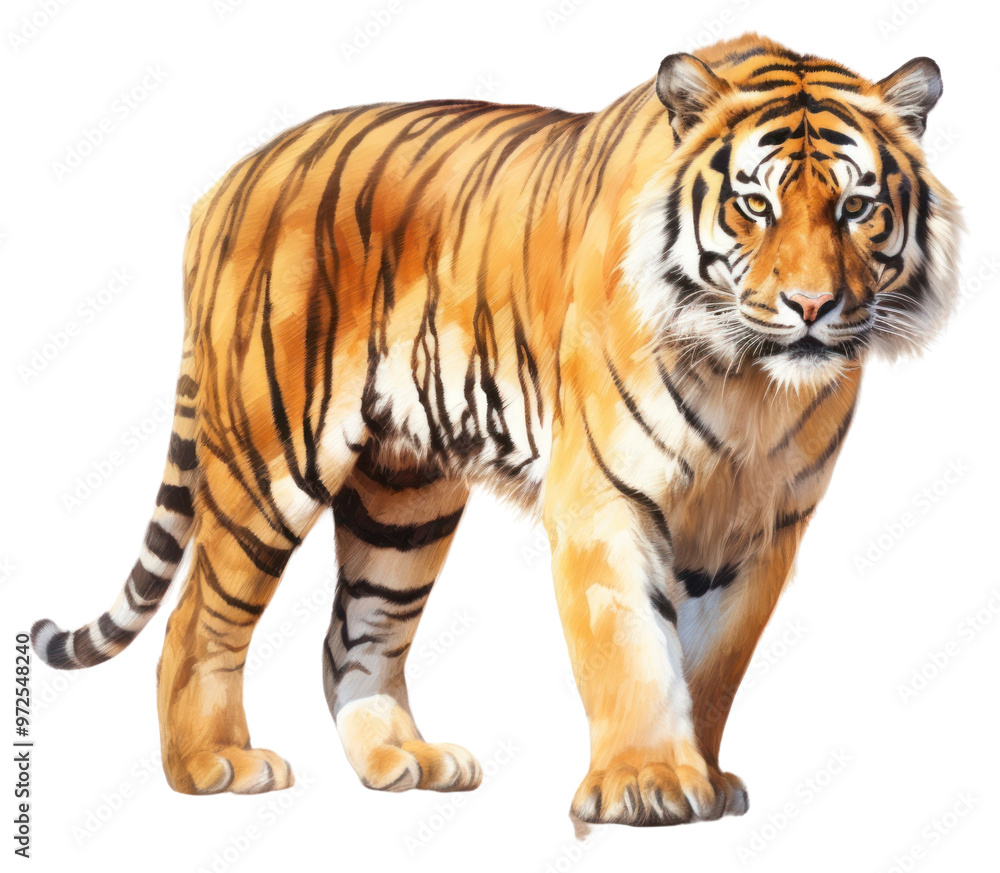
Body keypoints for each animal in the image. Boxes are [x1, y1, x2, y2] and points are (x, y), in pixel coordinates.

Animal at [32, 32, 960, 827]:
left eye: (857, 206)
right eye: (755, 204)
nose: (811, 306)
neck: (753, 381)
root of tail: (222, 185)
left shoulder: (765, 526)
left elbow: (714, 663)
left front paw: (703, 774)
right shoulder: (605, 496)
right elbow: (630, 643)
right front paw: (647, 783)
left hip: (404, 498)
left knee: (355, 634)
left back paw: (403, 759)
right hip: (270, 457)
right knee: (197, 618)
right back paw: (213, 763)